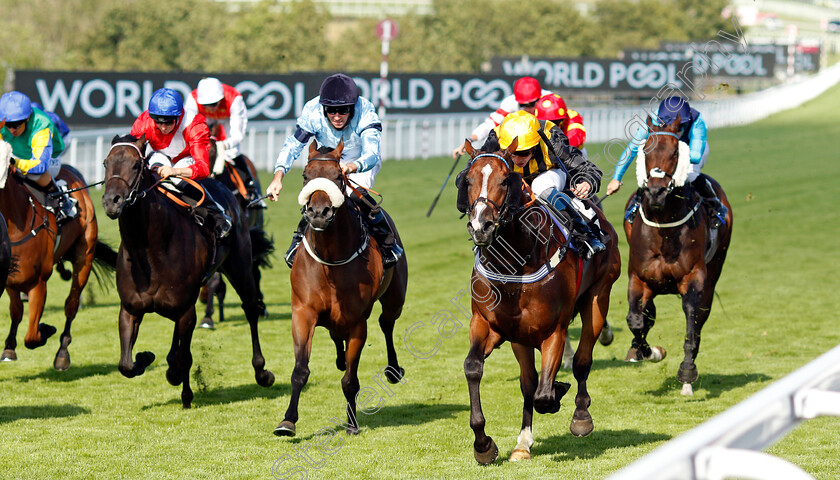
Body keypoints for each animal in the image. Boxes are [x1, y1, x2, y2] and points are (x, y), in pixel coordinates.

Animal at [0, 152, 116, 370]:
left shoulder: (39, 282)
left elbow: (32, 336)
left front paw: (46, 329)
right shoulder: (11, 279)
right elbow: (16, 312)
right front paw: (9, 348)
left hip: (84, 257)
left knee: (71, 304)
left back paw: (63, 353)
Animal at [100, 133, 274, 406]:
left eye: (136, 165)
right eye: (106, 163)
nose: (111, 202)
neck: (150, 251)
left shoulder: (186, 311)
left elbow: (186, 355)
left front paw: (186, 394)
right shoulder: (130, 309)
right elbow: (125, 364)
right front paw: (147, 357)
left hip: (240, 267)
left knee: (250, 310)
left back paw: (262, 371)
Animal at [274, 141, 408, 436]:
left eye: (338, 176)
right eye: (305, 176)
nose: (318, 213)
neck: (331, 261)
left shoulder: (358, 322)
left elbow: (350, 379)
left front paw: (352, 424)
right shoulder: (303, 312)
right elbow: (300, 370)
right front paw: (287, 421)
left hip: (395, 298)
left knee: (386, 323)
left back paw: (393, 370)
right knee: (337, 334)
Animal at [456, 138, 620, 462]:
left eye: (504, 180)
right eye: (468, 179)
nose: (481, 226)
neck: (514, 263)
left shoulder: (553, 330)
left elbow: (545, 394)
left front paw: (558, 392)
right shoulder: (490, 325)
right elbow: (474, 367)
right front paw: (484, 445)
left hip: (599, 296)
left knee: (582, 361)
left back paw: (581, 416)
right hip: (520, 337)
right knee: (529, 381)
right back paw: (523, 442)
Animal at [624, 115, 736, 394]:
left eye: (675, 152)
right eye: (645, 150)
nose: (655, 192)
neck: (663, 227)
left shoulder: (693, 278)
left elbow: (691, 318)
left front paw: (686, 371)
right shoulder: (638, 279)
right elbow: (636, 320)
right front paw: (650, 352)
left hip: (715, 268)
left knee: (700, 317)